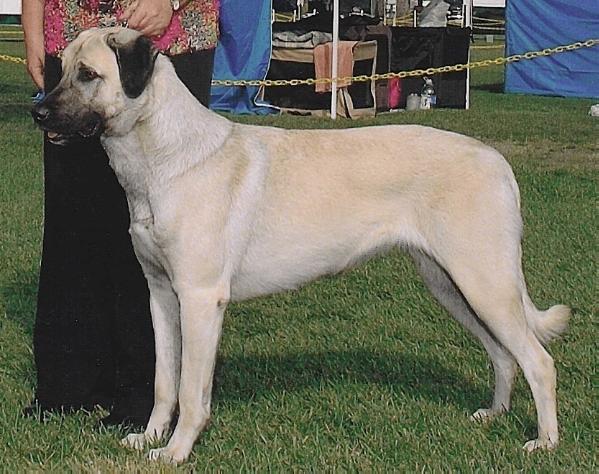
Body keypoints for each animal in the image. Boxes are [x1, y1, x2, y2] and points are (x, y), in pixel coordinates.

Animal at [32, 27, 572, 464]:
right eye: (60, 68)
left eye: (88, 74)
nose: (37, 111)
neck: (161, 158)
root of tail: (497, 161)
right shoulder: (162, 295)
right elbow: (165, 382)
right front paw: (148, 438)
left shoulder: (201, 299)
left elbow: (190, 390)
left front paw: (176, 452)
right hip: (451, 285)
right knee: (503, 355)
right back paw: (493, 415)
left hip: (483, 282)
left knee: (538, 361)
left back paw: (544, 442)